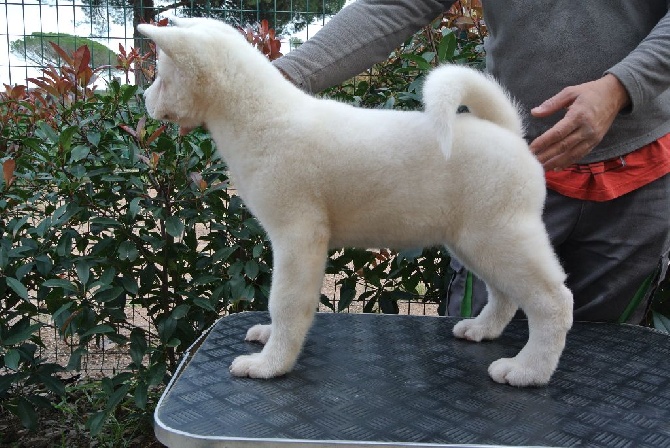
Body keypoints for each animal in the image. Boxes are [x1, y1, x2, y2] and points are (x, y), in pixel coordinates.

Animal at [139, 17, 576, 386]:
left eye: (161, 76)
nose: (143, 98)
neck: (259, 116)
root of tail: (509, 133)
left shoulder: (298, 238)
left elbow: (285, 302)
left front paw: (271, 364)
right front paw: (269, 341)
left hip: (499, 237)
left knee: (554, 300)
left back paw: (529, 370)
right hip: (475, 242)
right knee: (505, 295)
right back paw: (483, 329)